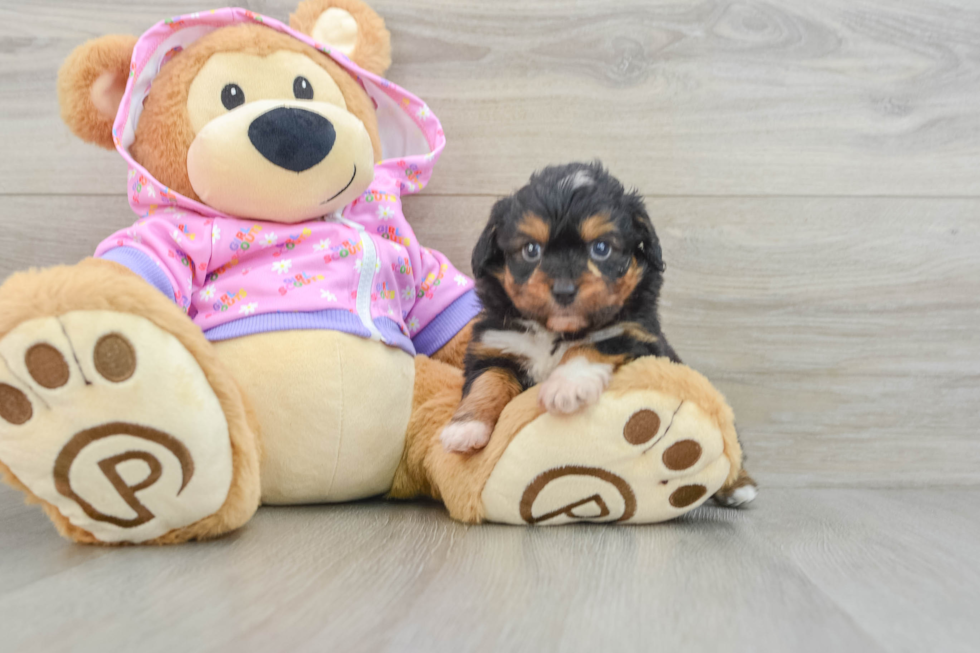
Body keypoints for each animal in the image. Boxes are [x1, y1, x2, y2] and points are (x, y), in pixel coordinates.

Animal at [442, 160, 756, 506]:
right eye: (531, 250)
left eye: (602, 248)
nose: (564, 290)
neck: (555, 331)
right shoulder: (496, 345)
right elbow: (487, 382)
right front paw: (466, 427)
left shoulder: (635, 334)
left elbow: (589, 346)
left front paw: (566, 387)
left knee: (731, 448)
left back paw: (738, 486)